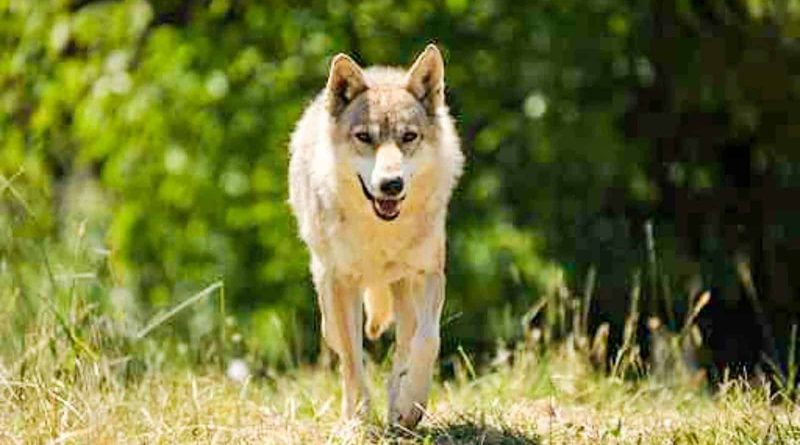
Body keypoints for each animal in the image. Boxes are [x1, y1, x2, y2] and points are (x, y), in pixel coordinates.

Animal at [288, 44, 464, 428]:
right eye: (365, 137)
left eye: (409, 137)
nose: (391, 184)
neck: (380, 231)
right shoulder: (341, 283)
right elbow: (354, 363)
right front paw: (358, 421)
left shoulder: (429, 274)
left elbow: (428, 341)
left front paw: (411, 404)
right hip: (327, 297)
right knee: (341, 349)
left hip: (403, 290)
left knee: (406, 342)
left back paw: (400, 408)